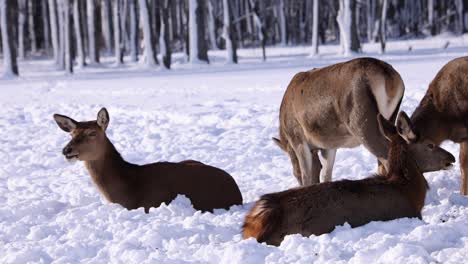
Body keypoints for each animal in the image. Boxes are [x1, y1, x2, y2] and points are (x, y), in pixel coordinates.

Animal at [274, 57, 406, 186]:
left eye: (295, 173)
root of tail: (390, 79)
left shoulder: (297, 138)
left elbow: (306, 174)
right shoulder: (329, 144)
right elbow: (326, 175)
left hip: (362, 122)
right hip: (390, 118)